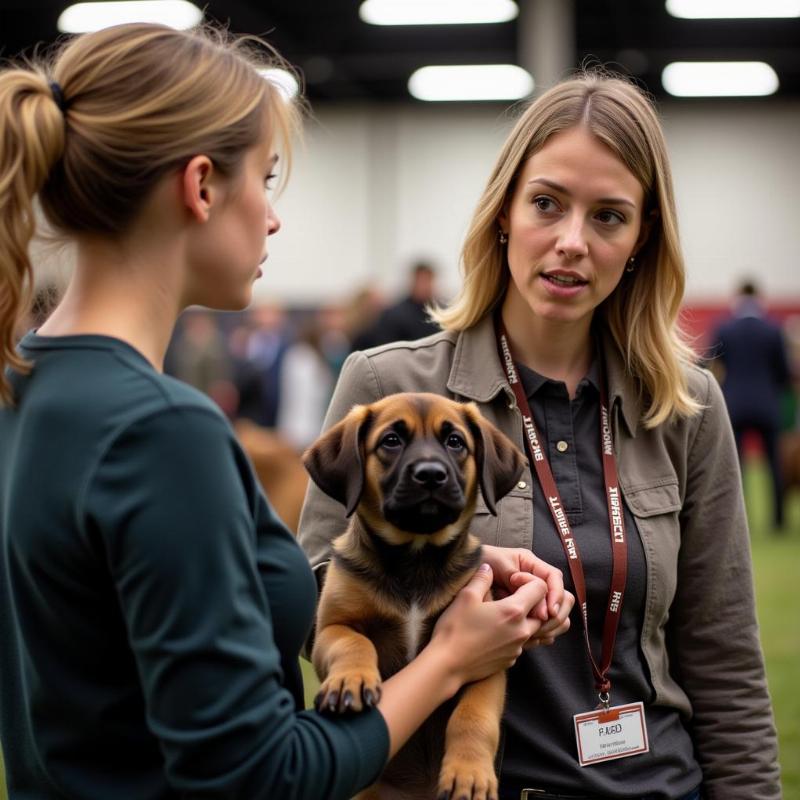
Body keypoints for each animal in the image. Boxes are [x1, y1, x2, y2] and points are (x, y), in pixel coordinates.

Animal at [302, 390, 524, 796]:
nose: (431, 474)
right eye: (391, 440)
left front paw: (469, 773)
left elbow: (473, 717)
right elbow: (355, 643)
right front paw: (350, 680)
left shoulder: (490, 664)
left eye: (455, 442)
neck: (415, 559)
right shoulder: (331, 628)